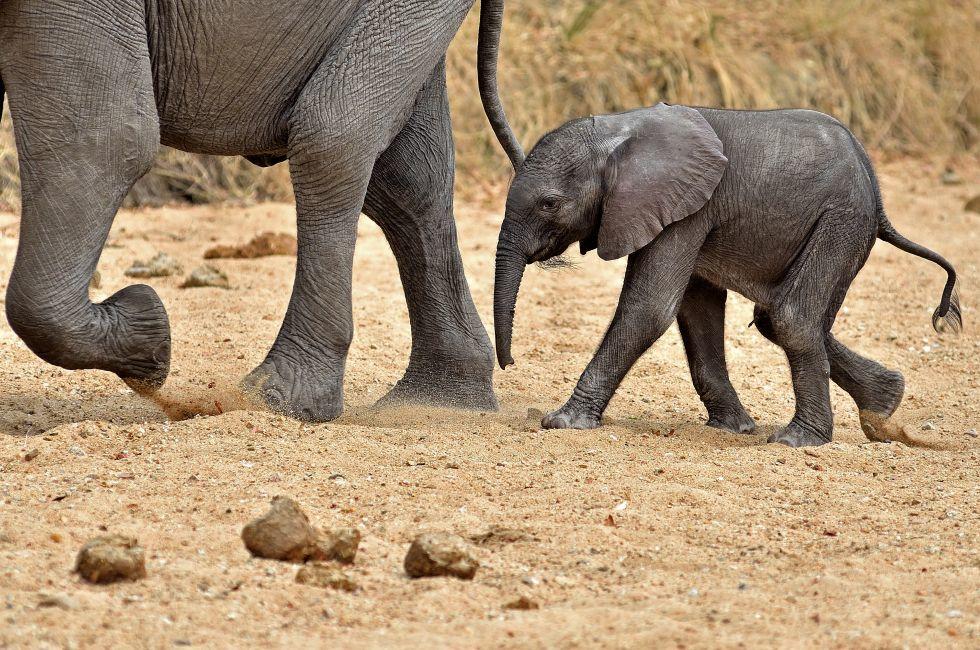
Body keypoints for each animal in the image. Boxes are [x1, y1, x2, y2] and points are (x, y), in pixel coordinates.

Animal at [0, 0, 519, 422]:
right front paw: (148, 341)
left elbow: (104, 138)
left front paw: (151, 338)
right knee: (406, 176)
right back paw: (441, 403)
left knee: (330, 133)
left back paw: (278, 402)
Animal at [486, 102, 961, 447]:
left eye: (549, 203)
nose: (509, 364)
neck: (617, 130)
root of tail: (877, 194)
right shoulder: (686, 209)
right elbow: (695, 311)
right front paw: (734, 428)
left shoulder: (684, 209)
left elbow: (650, 308)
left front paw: (561, 421)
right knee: (780, 318)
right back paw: (884, 409)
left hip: (841, 221)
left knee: (789, 317)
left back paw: (798, 441)